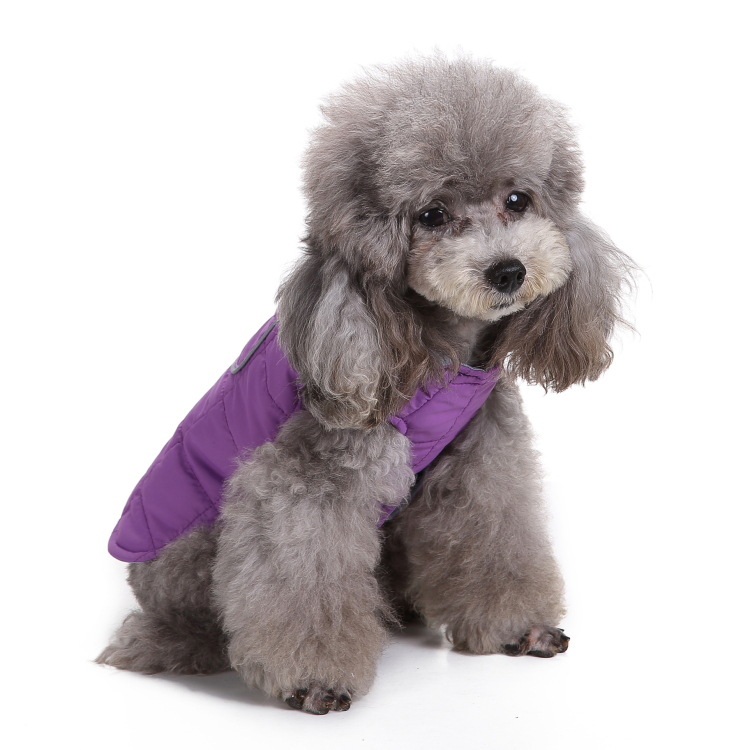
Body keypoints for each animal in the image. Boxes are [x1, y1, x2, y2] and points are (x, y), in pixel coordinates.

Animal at [98, 56, 632, 715]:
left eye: (518, 199)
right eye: (432, 215)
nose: (508, 270)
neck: (440, 354)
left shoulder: (481, 455)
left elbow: (493, 532)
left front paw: (517, 626)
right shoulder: (305, 480)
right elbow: (305, 575)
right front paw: (314, 677)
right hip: (197, 549)